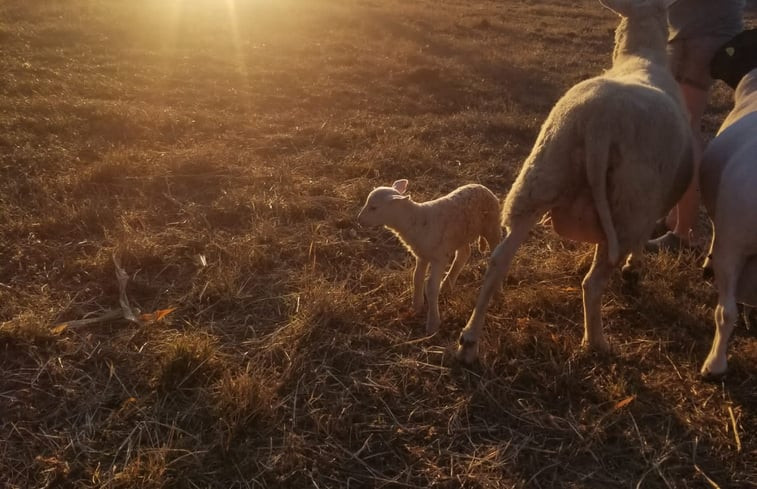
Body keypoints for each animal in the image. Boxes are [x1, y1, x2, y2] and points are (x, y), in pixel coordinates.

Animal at [356, 180, 500, 336]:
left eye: (374, 207)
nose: (359, 220)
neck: (415, 219)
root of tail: (481, 186)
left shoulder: (439, 258)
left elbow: (430, 287)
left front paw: (433, 323)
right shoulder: (422, 255)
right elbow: (417, 278)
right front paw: (416, 306)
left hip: (493, 226)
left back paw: (497, 290)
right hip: (461, 235)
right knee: (463, 254)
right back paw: (447, 285)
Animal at [452, 0, 692, 362]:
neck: (640, 56)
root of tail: (600, 122)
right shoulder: (650, 206)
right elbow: (640, 244)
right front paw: (634, 269)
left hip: (539, 180)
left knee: (497, 262)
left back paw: (469, 341)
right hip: (629, 203)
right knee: (593, 283)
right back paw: (597, 343)